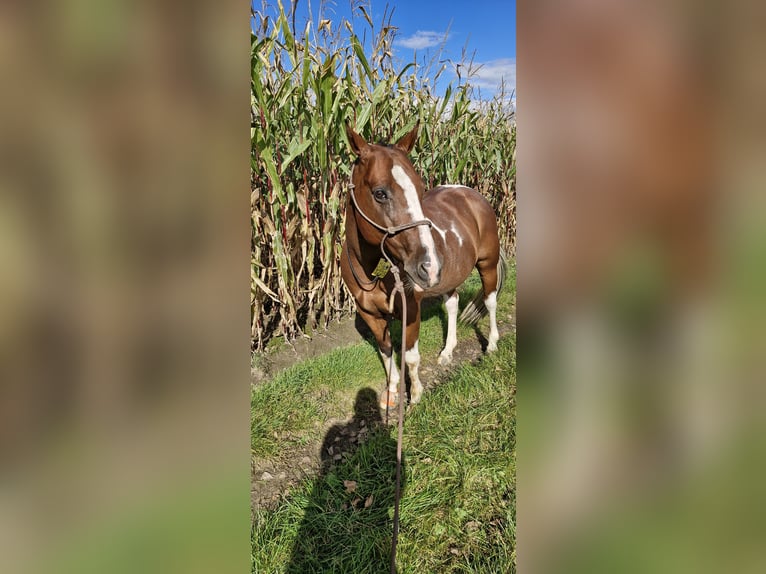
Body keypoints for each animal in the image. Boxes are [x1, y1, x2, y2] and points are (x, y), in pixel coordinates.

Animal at [344, 121, 510, 410]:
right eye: (379, 193)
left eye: (421, 189)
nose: (428, 266)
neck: (371, 273)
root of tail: (472, 194)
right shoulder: (370, 314)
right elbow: (386, 353)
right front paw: (391, 391)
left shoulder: (411, 308)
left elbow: (410, 357)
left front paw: (415, 397)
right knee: (453, 303)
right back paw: (447, 352)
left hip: (487, 264)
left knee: (490, 302)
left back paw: (491, 345)